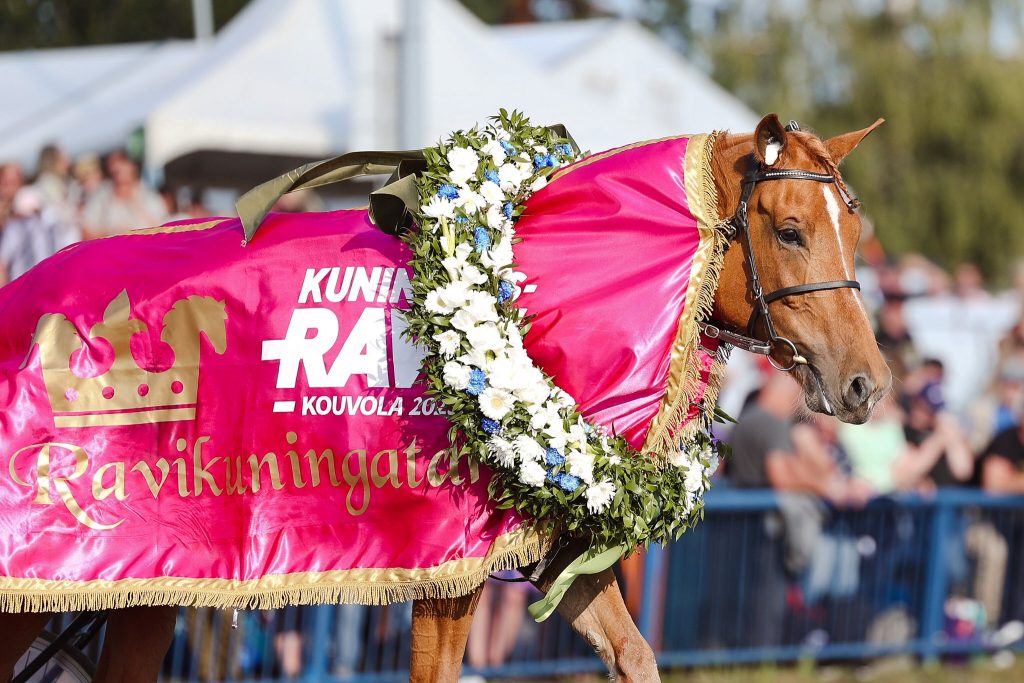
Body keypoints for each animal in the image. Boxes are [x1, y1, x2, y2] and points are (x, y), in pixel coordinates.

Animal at [0, 114, 888, 679]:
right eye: (790, 229)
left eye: (854, 227)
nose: (867, 382)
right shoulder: (445, 573)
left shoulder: (553, 552)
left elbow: (634, 654)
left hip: (144, 588)